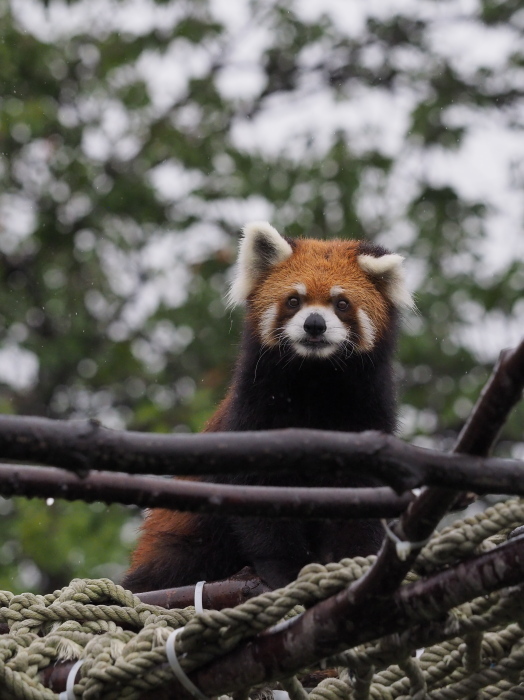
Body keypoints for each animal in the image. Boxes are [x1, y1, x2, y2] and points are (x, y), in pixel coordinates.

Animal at [123, 223, 414, 592]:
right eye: (293, 300)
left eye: (341, 303)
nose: (314, 324)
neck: (315, 380)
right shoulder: (254, 410)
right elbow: (259, 497)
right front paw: (284, 569)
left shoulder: (368, 412)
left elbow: (362, 499)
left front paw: (355, 560)